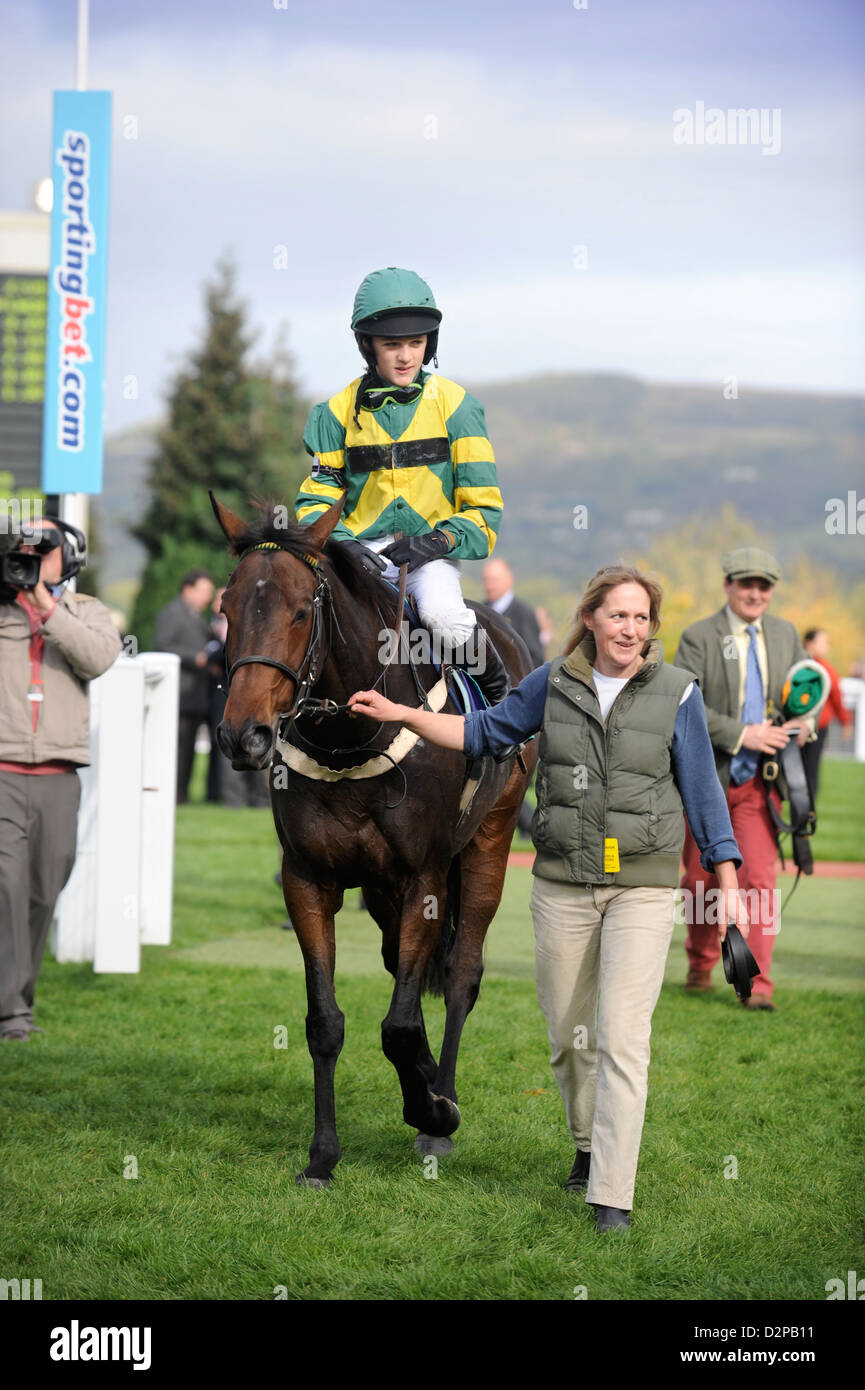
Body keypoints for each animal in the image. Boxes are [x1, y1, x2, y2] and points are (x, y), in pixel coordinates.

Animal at [211, 494, 536, 1189]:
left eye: (301, 610)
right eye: (226, 607)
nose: (243, 736)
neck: (350, 739)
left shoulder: (424, 879)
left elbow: (400, 1024)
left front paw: (434, 1110)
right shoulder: (309, 878)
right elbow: (327, 1022)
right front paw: (322, 1155)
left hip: (489, 842)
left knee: (462, 974)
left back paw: (440, 1100)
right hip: (383, 890)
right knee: (400, 967)